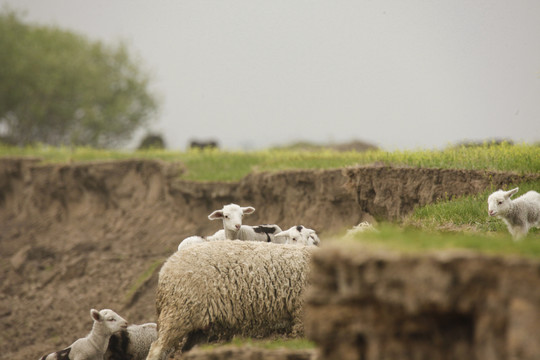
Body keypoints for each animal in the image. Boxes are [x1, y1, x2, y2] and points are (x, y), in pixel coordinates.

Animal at [144, 240, 312, 358]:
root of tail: (166, 268)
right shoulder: (302, 315)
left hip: (199, 324)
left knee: (188, 349)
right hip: (178, 313)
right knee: (157, 348)